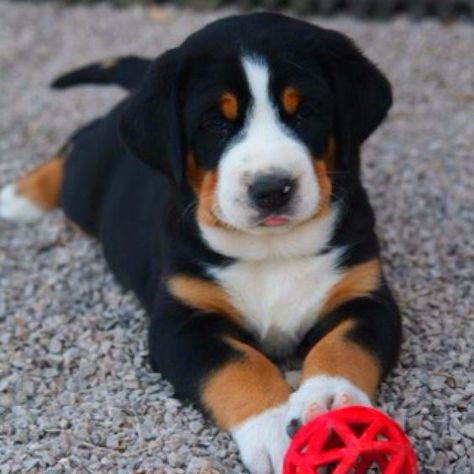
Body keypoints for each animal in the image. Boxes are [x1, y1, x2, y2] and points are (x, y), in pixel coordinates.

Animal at [0, 13, 402, 474]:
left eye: (305, 111)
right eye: (215, 122)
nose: (271, 188)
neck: (272, 250)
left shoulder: (366, 296)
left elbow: (345, 347)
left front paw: (332, 399)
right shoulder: (182, 320)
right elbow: (239, 366)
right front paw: (271, 427)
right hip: (84, 190)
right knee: (75, 147)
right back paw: (19, 197)